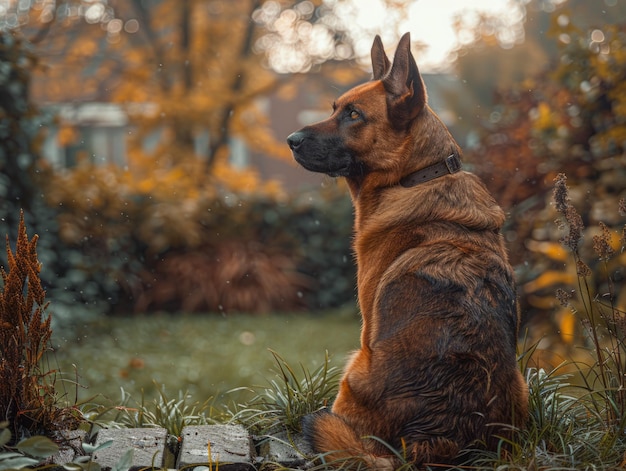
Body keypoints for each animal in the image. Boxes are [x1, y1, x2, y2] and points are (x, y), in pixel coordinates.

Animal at [286, 34, 528, 468]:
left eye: (353, 115)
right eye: (334, 109)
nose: (290, 141)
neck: (415, 177)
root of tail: (434, 437)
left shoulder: (366, 327)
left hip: (354, 367)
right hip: (521, 385)